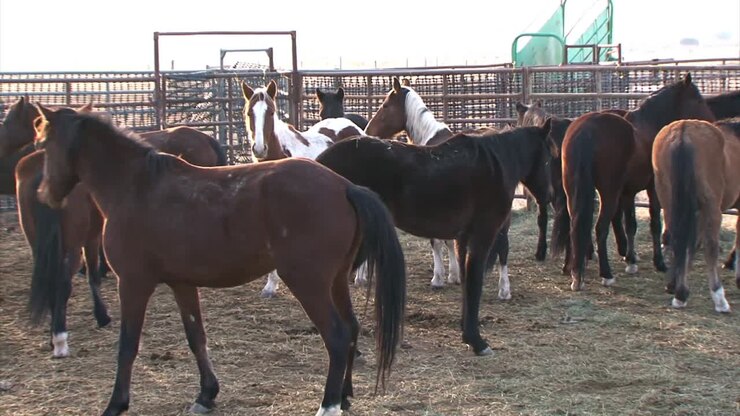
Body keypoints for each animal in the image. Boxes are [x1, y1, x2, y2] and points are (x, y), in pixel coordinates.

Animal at [34, 104, 406, 416]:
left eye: (44, 145)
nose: (45, 194)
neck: (136, 187)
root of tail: (344, 186)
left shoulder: (134, 283)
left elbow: (127, 345)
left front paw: (116, 403)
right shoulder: (181, 284)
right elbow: (196, 337)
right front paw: (206, 394)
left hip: (308, 283)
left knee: (338, 337)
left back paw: (328, 405)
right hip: (336, 280)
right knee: (352, 328)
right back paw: (344, 396)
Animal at [316, 125, 557, 356]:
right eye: (547, 159)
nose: (550, 196)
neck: (494, 167)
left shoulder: (463, 239)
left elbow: (466, 284)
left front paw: (466, 333)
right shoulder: (481, 238)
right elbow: (474, 285)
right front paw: (477, 341)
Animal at [652, 119, 739, 312]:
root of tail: (682, 133)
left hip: (669, 200)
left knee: (674, 238)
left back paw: (679, 292)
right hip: (711, 206)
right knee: (710, 247)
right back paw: (719, 298)